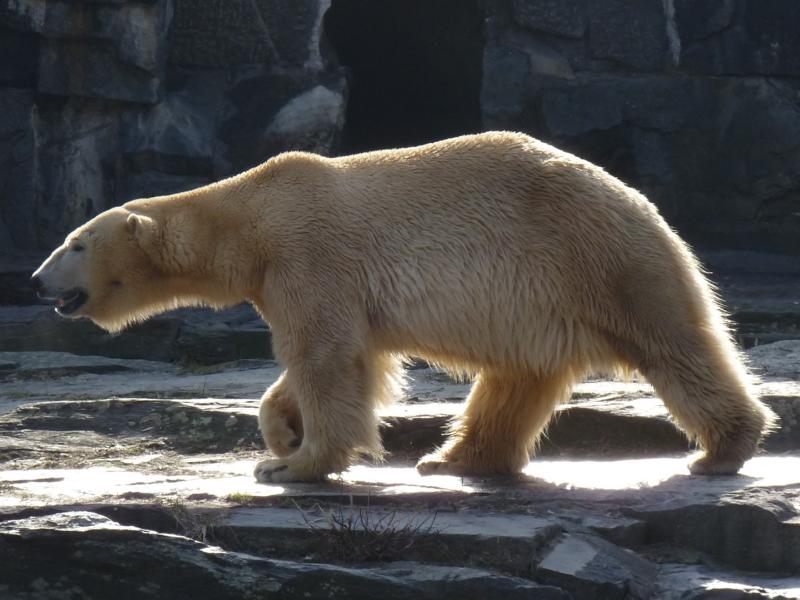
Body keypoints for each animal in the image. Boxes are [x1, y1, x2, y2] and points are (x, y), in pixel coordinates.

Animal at [31, 131, 775, 483]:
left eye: (75, 241)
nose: (36, 281)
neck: (252, 216)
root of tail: (638, 199)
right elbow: (351, 359)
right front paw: (280, 435)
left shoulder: (307, 253)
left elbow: (323, 356)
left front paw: (293, 464)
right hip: (542, 299)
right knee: (516, 380)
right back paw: (452, 459)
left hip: (594, 257)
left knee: (675, 345)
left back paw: (721, 450)